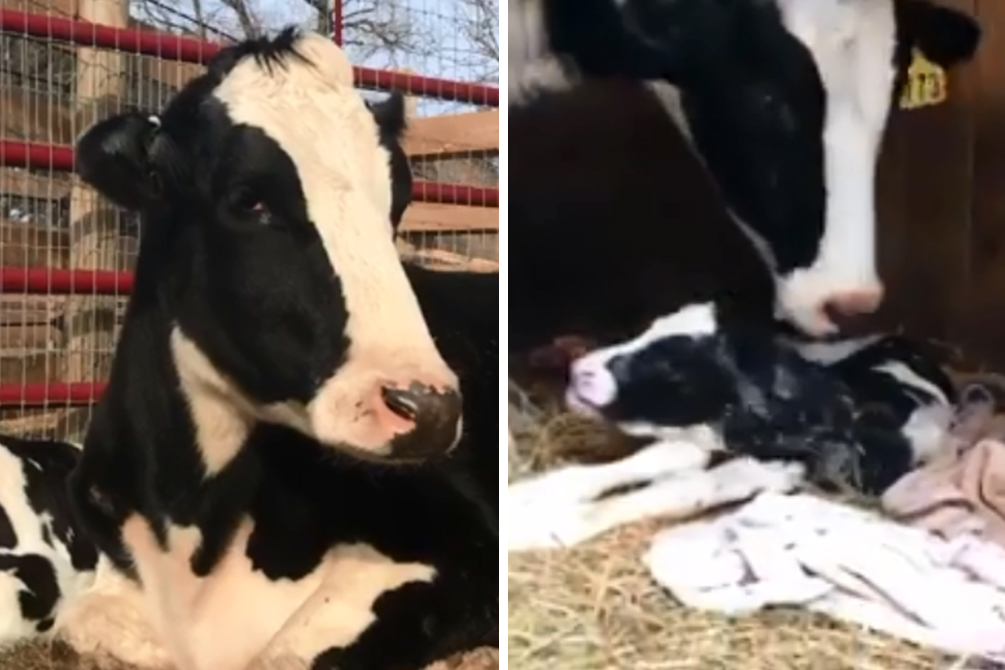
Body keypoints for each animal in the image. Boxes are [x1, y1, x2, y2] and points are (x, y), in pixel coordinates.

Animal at [50, 29, 497, 670]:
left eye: (398, 203)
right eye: (249, 201)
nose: (429, 408)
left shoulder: (468, 550)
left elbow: (282, 656)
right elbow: (82, 618)